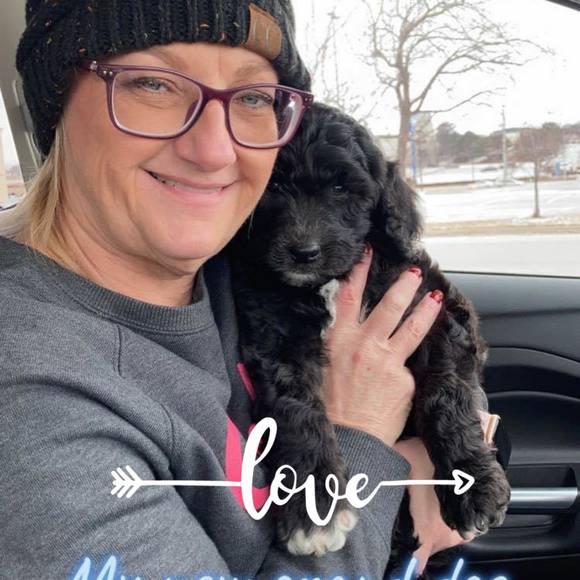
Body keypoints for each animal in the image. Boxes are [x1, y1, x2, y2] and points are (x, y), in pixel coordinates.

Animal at [225, 102, 511, 571]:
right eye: (275, 185)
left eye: (342, 188)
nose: (303, 252)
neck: (326, 283)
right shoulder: (277, 336)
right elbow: (296, 408)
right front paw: (313, 506)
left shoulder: (436, 309)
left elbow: (445, 394)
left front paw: (474, 485)